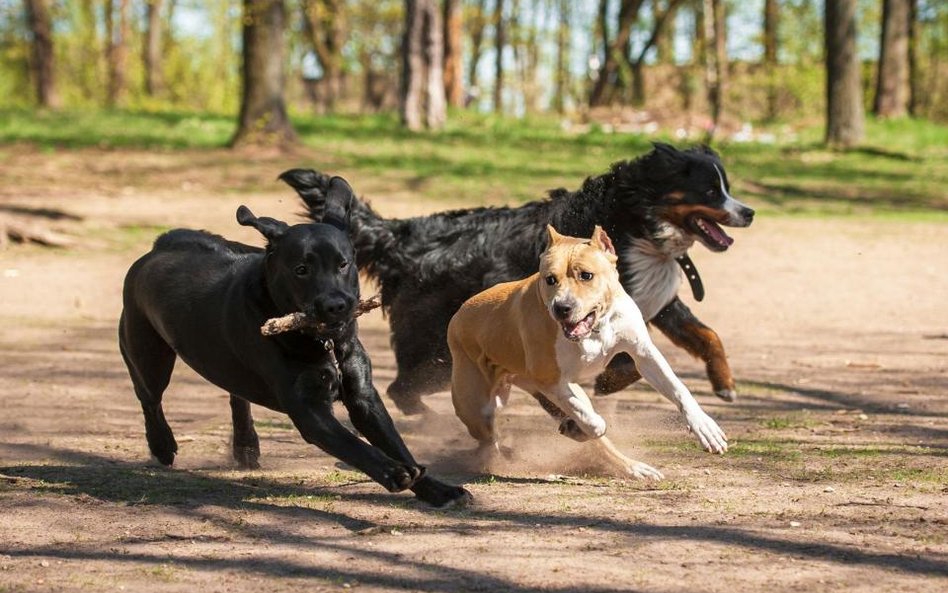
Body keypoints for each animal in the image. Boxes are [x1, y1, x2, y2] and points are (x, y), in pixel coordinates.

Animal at [118, 175, 470, 504]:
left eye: (343, 263)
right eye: (301, 269)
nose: (336, 305)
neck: (326, 344)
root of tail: (162, 244)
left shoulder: (363, 395)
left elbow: (396, 443)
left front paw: (439, 490)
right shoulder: (308, 409)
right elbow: (355, 445)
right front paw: (394, 472)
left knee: (236, 395)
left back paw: (246, 445)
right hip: (146, 351)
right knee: (150, 398)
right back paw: (162, 445)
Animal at [278, 143, 752, 414]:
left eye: (725, 187)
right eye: (711, 191)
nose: (748, 211)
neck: (635, 220)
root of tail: (406, 233)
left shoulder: (656, 301)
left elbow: (707, 335)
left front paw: (725, 384)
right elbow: (626, 363)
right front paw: (608, 381)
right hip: (437, 348)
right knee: (401, 389)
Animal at [448, 224, 728, 478]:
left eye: (586, 275)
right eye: (550, 279)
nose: (562, 307)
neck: (595, 328)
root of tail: (459, 314)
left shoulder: (644, 353)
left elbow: (678, 389)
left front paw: (704, 426)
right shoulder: (552, 382)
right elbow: (594, 421)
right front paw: (579, 427)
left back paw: (632, 467)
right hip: (476, 407)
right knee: (489, 438)